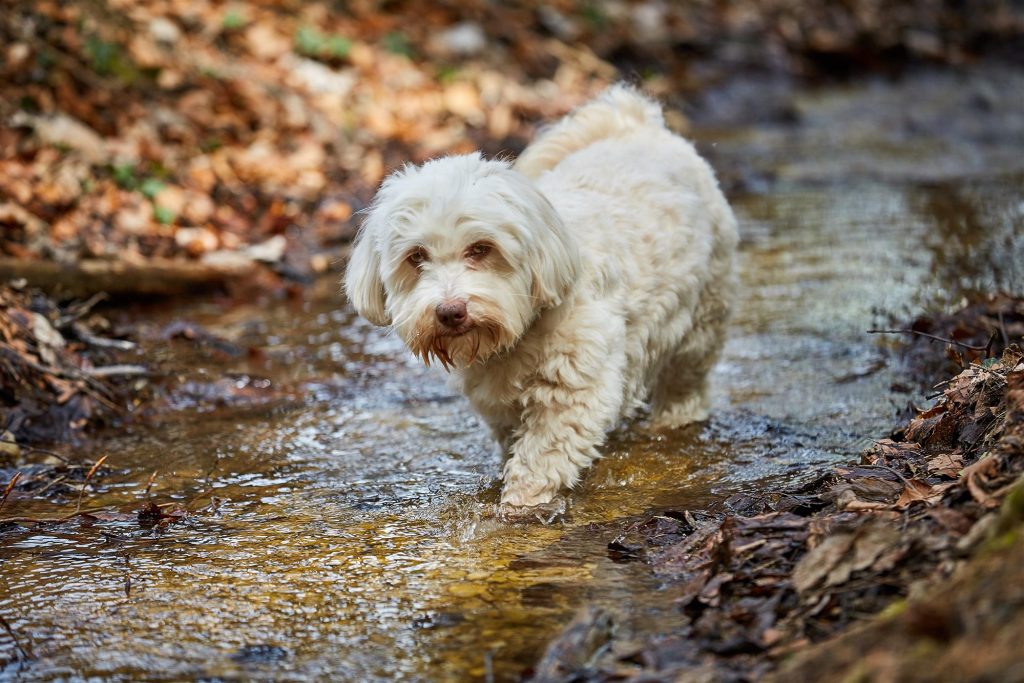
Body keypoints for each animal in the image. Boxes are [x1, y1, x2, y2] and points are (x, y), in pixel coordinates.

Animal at [344, 85, 737, 509]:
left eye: (481, 248)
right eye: (416, 257)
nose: (450, 311)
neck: (520, 331)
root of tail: (634, 124)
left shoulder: (574, 391)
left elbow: (542, 457)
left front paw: (520, 506)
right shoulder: (498, 406)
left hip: (703, 315)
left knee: (686, 377)